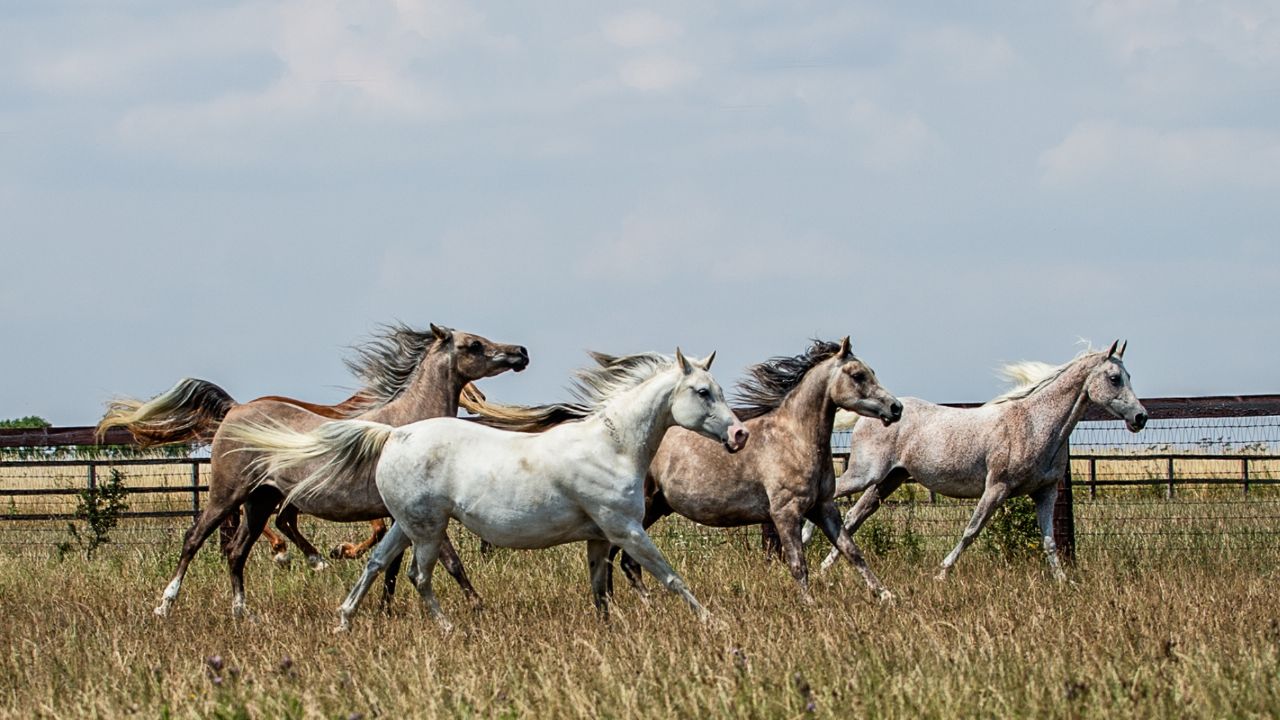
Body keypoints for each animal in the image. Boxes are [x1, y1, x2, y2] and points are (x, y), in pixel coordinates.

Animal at [100, 323, 528, 618]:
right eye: (473, 344)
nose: (520, 352)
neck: (407, 426)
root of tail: (235, 410)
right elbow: (448, 561)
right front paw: (477, 605)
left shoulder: (399, 517)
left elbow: (390, 565)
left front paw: (385, 609)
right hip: (227, 494)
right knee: (194, 539)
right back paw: (165, 605)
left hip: (260, 500)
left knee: (238, 551)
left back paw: (245, 611)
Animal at [227, 349, 749, 631]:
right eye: (703, 392)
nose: (740, 434)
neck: (612, 445)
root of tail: (395, 435)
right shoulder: (624, 529)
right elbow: (670, 575)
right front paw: (712, 622)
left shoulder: (600, 538)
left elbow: (601, 589)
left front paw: (611, 628)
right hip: (427, 529)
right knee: (418, 576)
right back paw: (449, 627)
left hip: (404, 524)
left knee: (375, 564)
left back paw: (344, 620)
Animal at [608, 338, 902, 602]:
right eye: (858, 375)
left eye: (871, 372)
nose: (896, 408)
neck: (794, 439)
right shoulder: (785, 513)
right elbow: (798, 565)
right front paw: (810, 605)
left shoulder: (824, 507)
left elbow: (851, 551)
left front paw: (886, 595)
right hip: (638, 510)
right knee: (619, 558)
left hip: (654, 508)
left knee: (624, 561)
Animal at [806, 340, 1147, 581]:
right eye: (1115, 378)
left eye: (1129, 376)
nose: (1140, 417)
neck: (1034, 423)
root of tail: (878, 413)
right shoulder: (997, 487)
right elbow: (971, 530)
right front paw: (941, 573)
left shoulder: (1046, 492)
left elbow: (1049, 541)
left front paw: (1064, 581)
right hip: (865, 474)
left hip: (888, 481)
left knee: (853, 517)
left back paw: (825, 566)